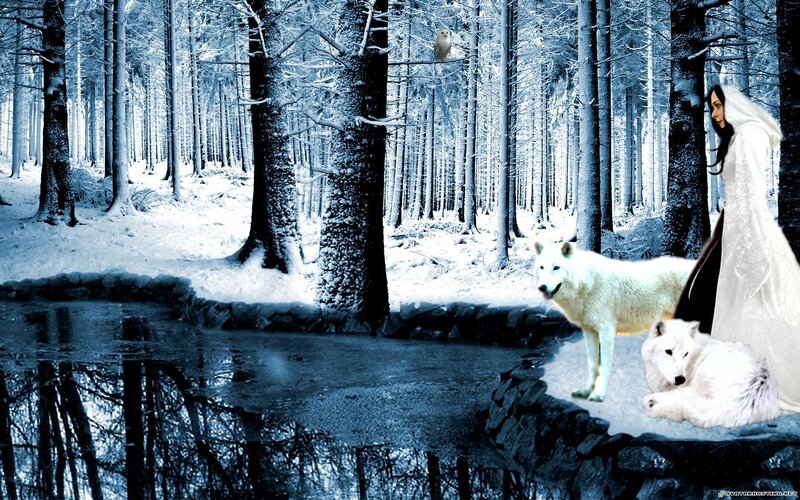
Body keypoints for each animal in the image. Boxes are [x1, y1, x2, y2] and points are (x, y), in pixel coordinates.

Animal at [534, 241, 693, 402]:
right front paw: (586, 391)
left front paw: (599, 394)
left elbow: (604, 365)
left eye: (556, 267)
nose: (541, 287)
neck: (587, 284)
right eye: (541, 267)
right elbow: (592, 365)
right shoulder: (589, 331)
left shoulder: (606, 330)